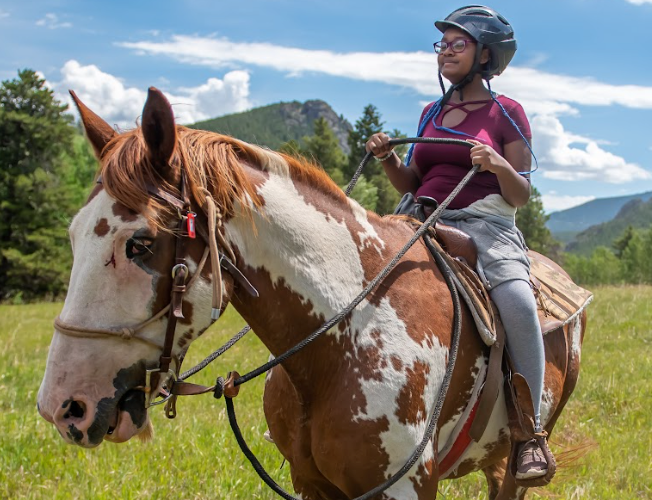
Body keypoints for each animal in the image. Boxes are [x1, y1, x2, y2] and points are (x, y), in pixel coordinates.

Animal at [37, 87, 586, 500]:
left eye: (141, 243)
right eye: (72, 235)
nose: (63, 407)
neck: (346, 335)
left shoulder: (405, 486)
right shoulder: (310, 484)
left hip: (516, 461)